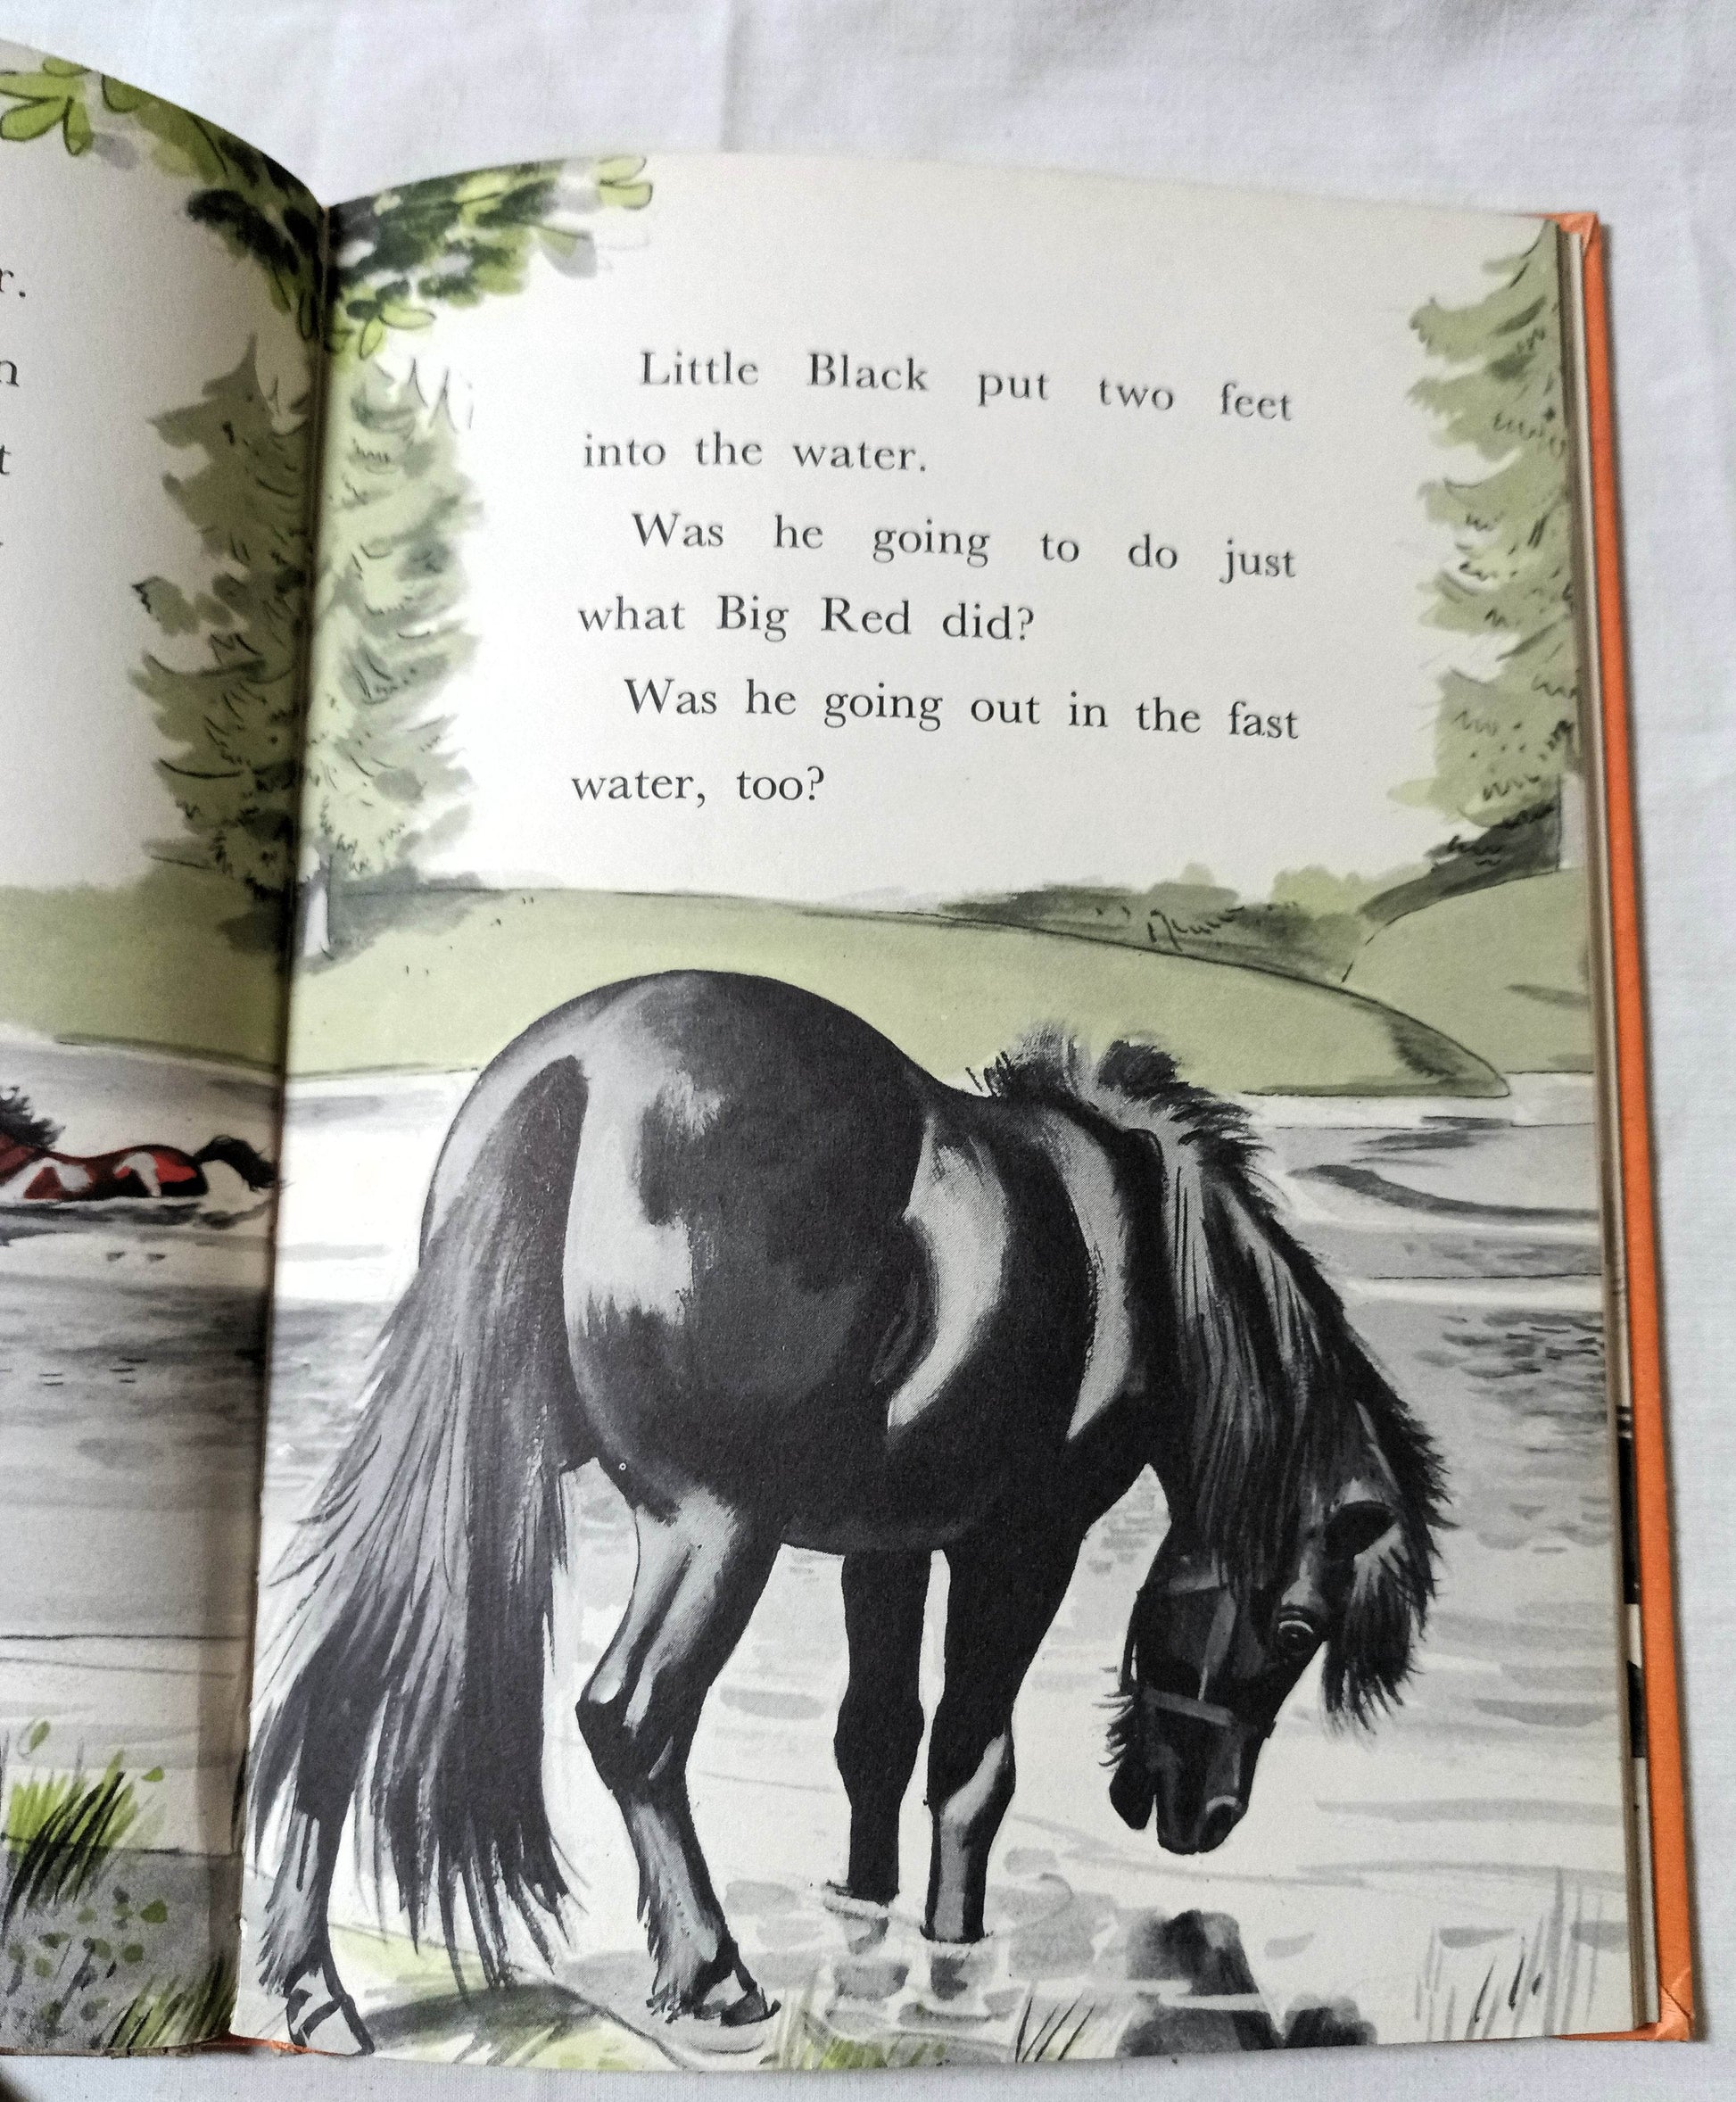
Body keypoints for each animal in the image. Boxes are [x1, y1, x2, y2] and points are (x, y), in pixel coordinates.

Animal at [248, 970, 1445, 2054]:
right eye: (1295, 1627)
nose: (1205, 1816)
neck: (1136, 1255)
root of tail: (577, 1068)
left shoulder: (889, 1548)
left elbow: (874, 1736)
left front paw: (863, 1923)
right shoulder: (1022, 1546)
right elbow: (969, 1762)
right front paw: (953, 1961)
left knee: (341, 1678)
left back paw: (315, 1993)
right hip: (713, 1530)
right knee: (629, 1718)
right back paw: (713, 1975)